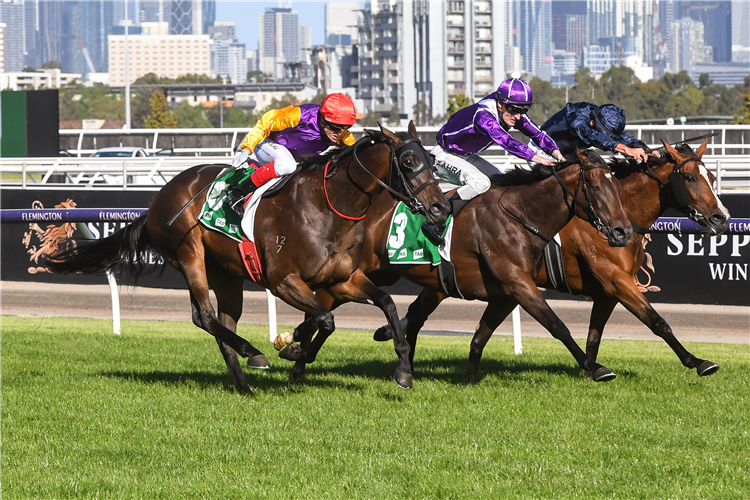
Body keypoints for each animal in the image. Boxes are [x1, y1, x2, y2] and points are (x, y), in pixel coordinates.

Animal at [48, 124, 452, 394]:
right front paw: (293, 349)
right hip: (189, 254)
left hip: (226, 272)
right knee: (204, 316)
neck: (327, 206)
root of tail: (156, 201)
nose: (440, 207)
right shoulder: (283, 281)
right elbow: (326, 319)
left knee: (223, 319)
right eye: (409, 160)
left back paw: (244, 383)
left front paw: (403, 370)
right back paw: (252, 352)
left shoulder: (343, 279)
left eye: (432, 159)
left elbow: (385, 304)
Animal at [286, 148, 636, 382]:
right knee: (322, 305)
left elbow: (480, 336)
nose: (623, 231)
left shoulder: (506, 294)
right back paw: (298, 359)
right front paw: (595, 368)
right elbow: (557, 325)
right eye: (596, 187)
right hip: (351, 272)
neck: (519, 216)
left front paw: (468, 380)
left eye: (618, 187)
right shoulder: (518, 283)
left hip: (373, 274)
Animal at [376, 139, 728, 380]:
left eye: (711, 175)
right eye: (691, 178)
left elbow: (594, 336)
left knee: (416, 314)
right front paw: (698, 362)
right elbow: (657, 322)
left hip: (440, 283)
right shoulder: (616, 280)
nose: (721, 217)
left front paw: (590, 370)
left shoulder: (607, 291)